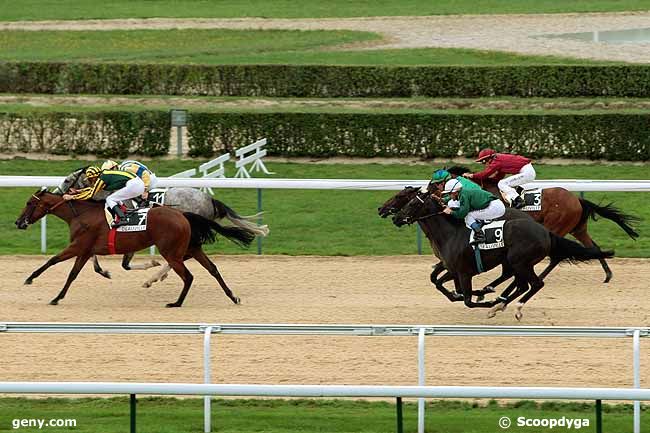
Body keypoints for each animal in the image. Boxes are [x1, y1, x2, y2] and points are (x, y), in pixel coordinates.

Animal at [15, 190, 253, 308]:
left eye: (29, 203)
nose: (18, 222)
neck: (81, 215)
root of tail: (183, 214)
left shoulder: (78, 246)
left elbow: (53, 260)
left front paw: (30, 279)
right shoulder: (85, 250)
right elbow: (73, 274)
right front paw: (57, 297)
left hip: (171, 251)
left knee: (188, 276)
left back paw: (175, 302)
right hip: (192, 248)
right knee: (212, 269)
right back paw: (233, 297)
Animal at [56, 167, 268, 286]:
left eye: (66, 180)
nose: (57, 193)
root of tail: (210, 199)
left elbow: (116, 260)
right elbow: (95, 255)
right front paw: (102, 270)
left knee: (183, 256)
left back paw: (154, 278)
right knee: (186, 255)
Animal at [390, 191, 612, 318]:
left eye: (411, 203)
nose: (395, 218)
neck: (450, 233)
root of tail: (544, 231)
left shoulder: (463, 272)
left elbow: (466, 299)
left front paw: (485, 299)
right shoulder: (452, 268)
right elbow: (439, 282)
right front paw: (476, 294)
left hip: (519, 261)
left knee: (534, 284)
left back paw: (511, 306)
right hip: (516, 262)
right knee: (521, 284)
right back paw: (500, 302)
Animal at [448, 164, 636, 282]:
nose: (444, 201)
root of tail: (577, 200)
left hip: (556, 227)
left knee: (556, 255)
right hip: (577, 229)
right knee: (593, 247)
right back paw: (608, 275)